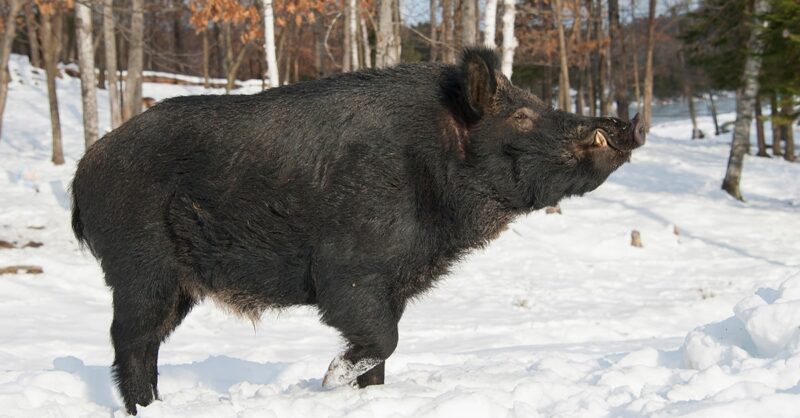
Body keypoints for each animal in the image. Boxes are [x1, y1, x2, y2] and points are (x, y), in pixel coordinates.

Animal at [71, 48, 644, 414]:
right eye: (523, 114)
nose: (627, 124)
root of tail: (83, 174)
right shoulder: (350, 274)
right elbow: (382, 338)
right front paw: (330, 379)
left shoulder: (393, 287)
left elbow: (382, 351)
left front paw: (366, 395)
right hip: (140, 268)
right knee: (129, 341)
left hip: (176, 288)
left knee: (145, 343)